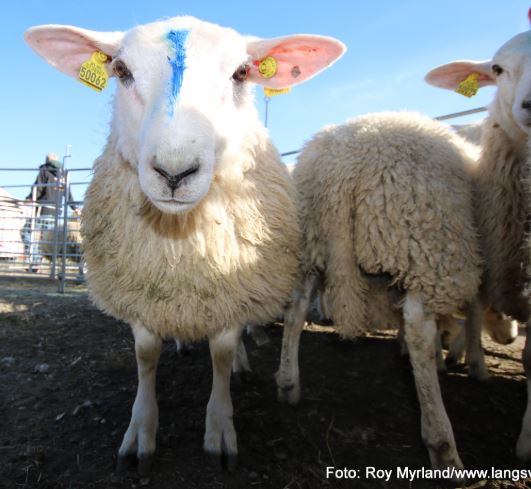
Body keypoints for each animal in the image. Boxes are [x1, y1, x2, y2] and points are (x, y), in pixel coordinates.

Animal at [25, 14, 348, 472]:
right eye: (121, 70)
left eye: (241, 73)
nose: (174, 172)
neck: (178, 240)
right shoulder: (141, 291)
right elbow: (145, 355)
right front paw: (140, 433)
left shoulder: (232, 284)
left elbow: (223, 353)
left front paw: (220, 431)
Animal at [278, 112, 482, 470]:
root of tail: (341, 168)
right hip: (426, 245)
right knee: (419, 330)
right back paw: (443, 445)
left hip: (311, 243)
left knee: (296, 309)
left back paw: (288, 384)